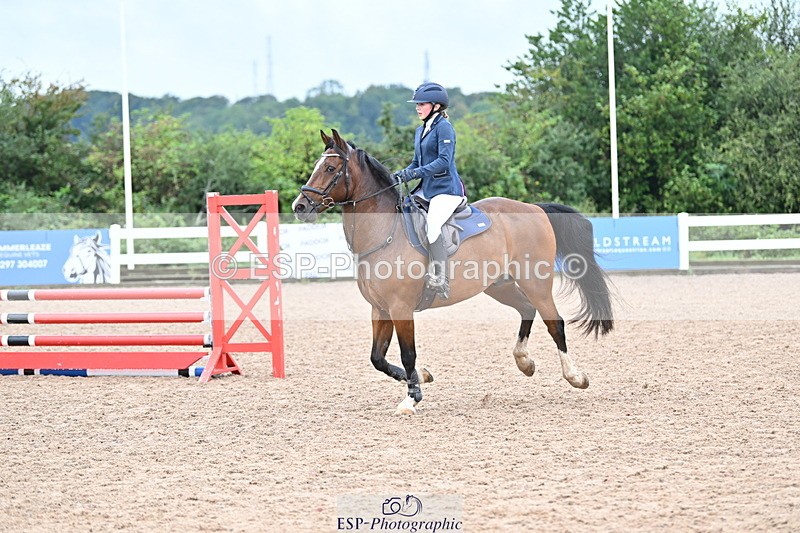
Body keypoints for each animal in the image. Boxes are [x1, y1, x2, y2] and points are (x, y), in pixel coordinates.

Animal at [292, 129, 614, 414]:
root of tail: (533, 208)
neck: (384, 234)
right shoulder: (380, 309)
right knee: (526, 309)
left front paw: (412, 398)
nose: (299, 206)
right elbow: (377, 358)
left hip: (536, 281)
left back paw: (575, 377)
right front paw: (422, 377)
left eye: (330, 168)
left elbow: (407, 353)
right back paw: (524, 361)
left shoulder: (400, 308)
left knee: (554, 323)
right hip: (499, 285)